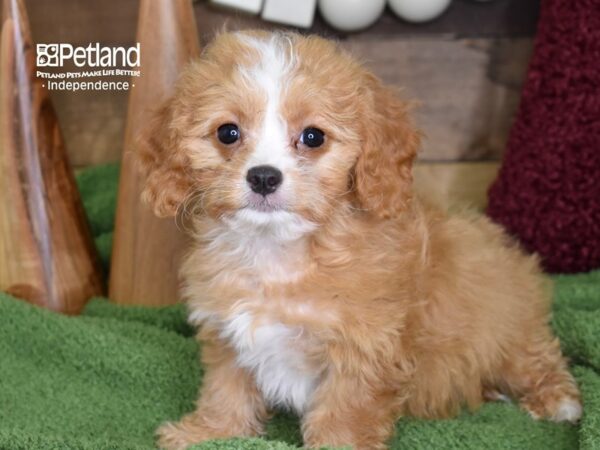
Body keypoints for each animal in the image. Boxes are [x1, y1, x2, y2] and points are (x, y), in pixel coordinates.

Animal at [137, 31, 580, 450]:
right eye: (227, 133)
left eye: (313, 137)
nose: (263, 176)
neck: (280, 255)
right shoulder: (228, 333)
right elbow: (226, 388)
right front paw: (211, 432)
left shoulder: (363, 348)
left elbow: (344, 410)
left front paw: (337, 443)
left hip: (508, 322)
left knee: (533, 356)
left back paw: (559, 399)